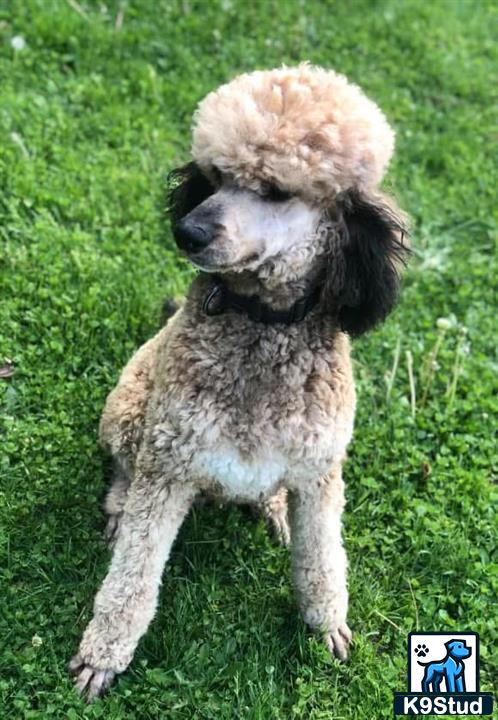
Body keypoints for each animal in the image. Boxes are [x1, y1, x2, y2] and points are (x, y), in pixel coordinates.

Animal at [69, 64, 408, 700]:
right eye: (217, 176)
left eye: (276, 190)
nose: (187, 231)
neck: (260, 323)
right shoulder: (168, 468)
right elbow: (132, 578)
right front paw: (104, 654)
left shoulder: (320, 474)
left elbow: (323, 561)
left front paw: (327, 624)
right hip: (127, 412)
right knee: (124, 469)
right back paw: (119, 506)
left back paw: (273, 509)